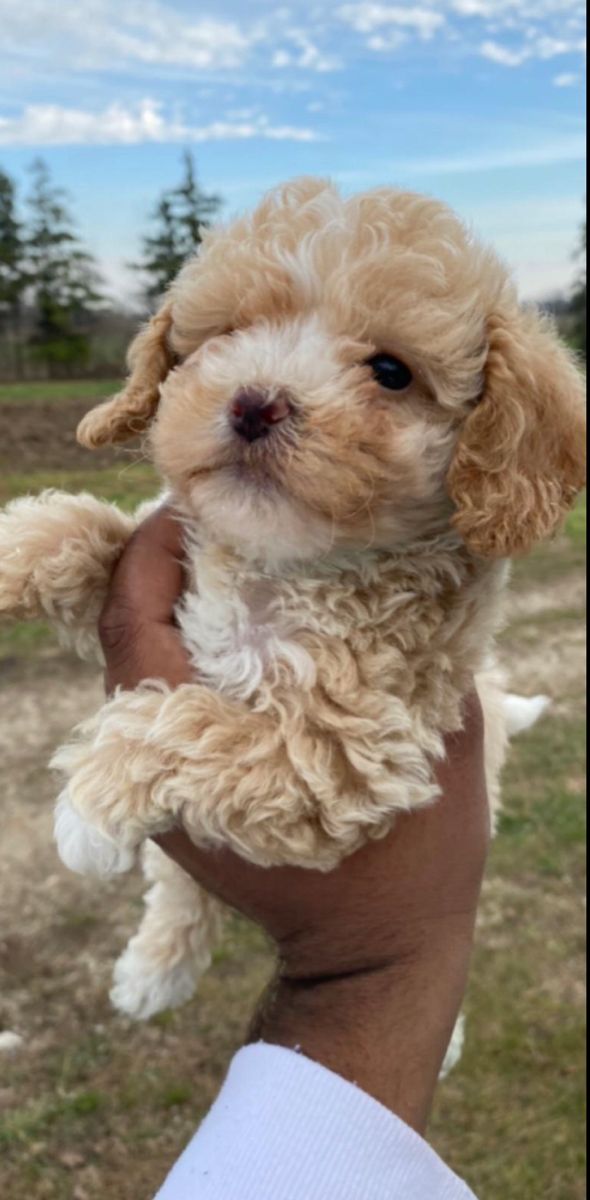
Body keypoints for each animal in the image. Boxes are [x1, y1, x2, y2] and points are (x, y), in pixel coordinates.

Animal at [0, 175, 582, 1022]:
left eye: (392, 372)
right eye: (230, 333)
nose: (254, 403)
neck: (279, 566)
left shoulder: (345, 754)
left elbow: (193, 724)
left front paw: (91, 804)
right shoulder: (171, 570)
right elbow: (88, 530)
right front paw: (14, 548)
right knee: (181, 889)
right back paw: (153, 970)